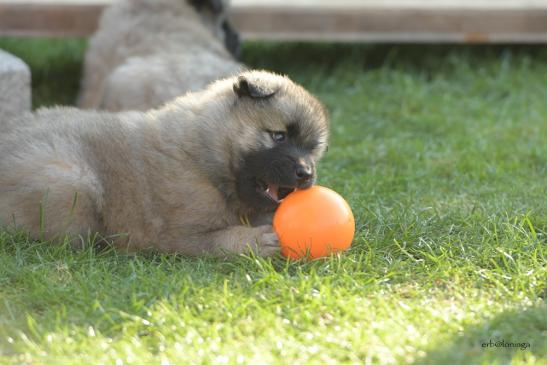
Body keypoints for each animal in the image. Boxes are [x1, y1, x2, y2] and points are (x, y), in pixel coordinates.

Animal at [0, 69, 330, 255]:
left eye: (314, 148)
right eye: (278, 136)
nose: (305, 173)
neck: (204, 156)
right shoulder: (178, 234)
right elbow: (216, 241)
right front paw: (253, 242)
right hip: (72, 183)